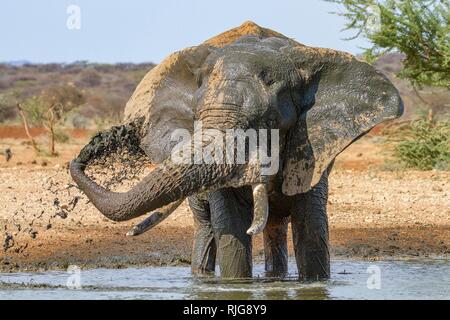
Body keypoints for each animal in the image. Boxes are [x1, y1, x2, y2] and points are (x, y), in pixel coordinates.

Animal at [69, 21, 404, 280]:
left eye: (268, 123)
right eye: (196, 120)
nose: (81, 157)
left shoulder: (314, 148)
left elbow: (310, 226)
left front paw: (315, 284)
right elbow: (231, 227)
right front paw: (235, 283)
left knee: (275, 227)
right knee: (207, 228)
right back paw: (202, 277)